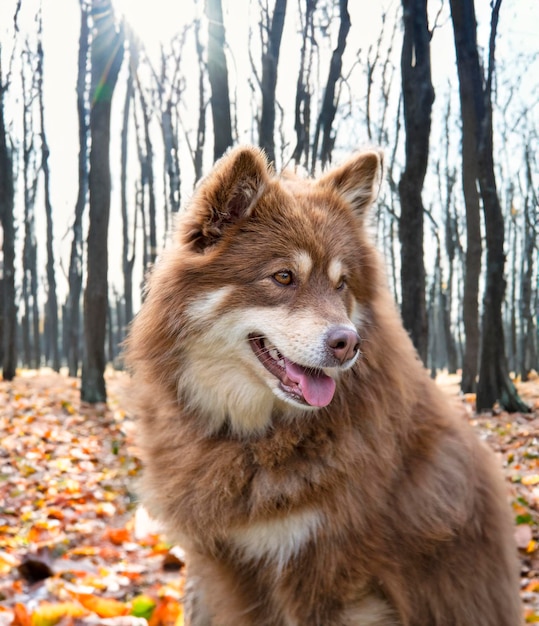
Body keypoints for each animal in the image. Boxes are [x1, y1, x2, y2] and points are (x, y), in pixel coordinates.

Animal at [125, 144, 524, 620]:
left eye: (341, 284)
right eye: (283, 277)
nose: (347, 343)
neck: (253, 436)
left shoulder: (327, 574)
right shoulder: (224, 564)